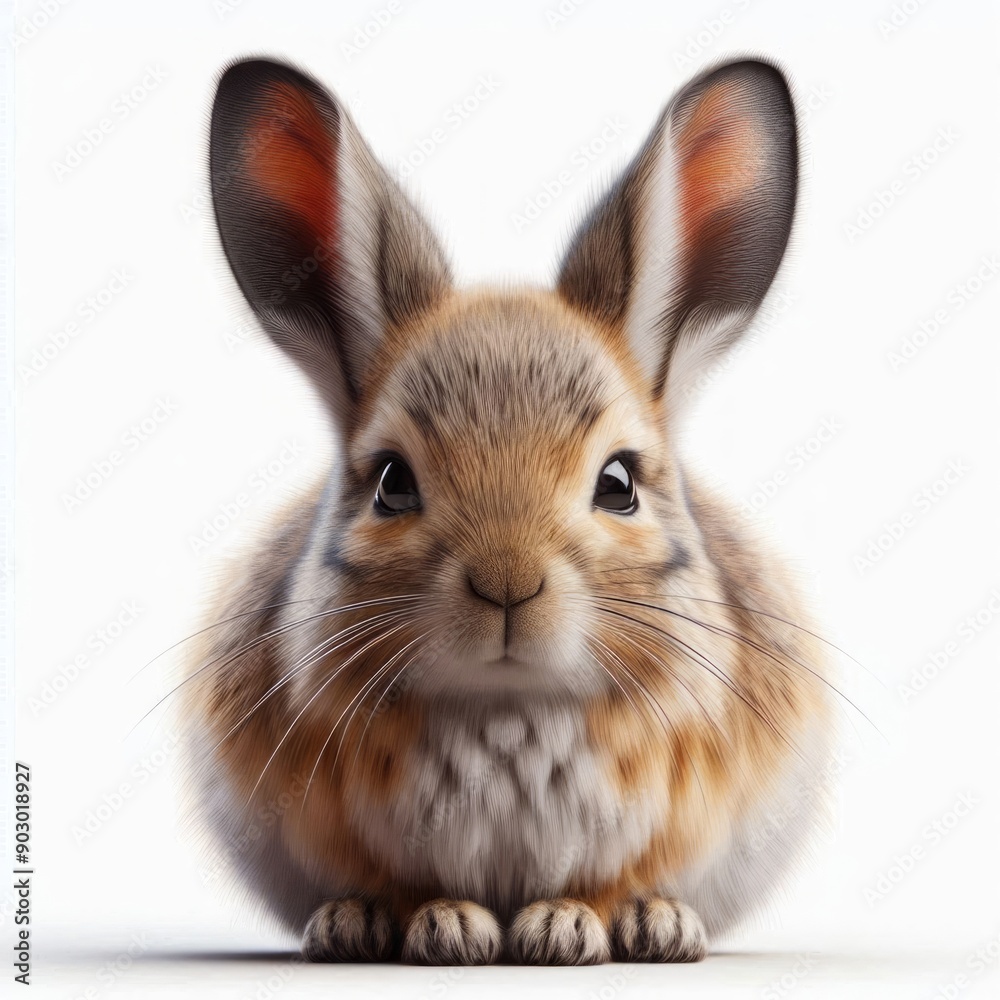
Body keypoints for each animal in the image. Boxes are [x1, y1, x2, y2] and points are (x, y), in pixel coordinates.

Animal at [179, 55, 837, 966]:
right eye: (392, 482)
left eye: (618, 484)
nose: (506, 584)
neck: (507, 703)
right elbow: (410, 882)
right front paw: (440, 926)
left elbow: (604, 879)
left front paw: (572, 928)